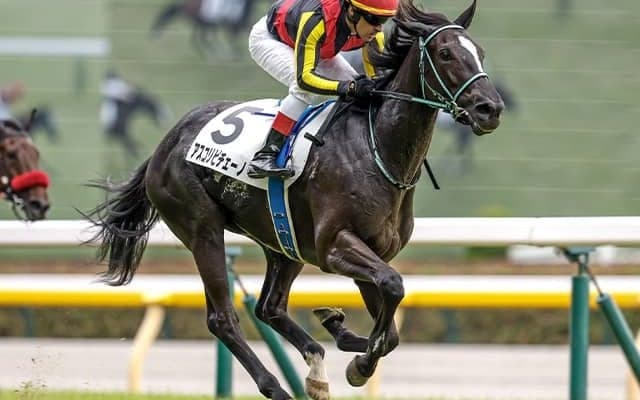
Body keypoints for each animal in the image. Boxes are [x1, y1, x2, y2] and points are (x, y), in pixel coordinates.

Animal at [86, 0, 503, 398]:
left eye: (480, 51)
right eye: (446, 53)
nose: (491, 109)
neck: (377, 148)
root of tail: (165, 145)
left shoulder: (372, 251)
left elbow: (391, 322)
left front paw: (350, 343)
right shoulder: (335, 245)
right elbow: (393, 286)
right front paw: (359, 365)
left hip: (283, 241)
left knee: (269, 306)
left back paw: (323, 354)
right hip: (203, 230)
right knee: (223, 318)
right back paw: (277, 386)